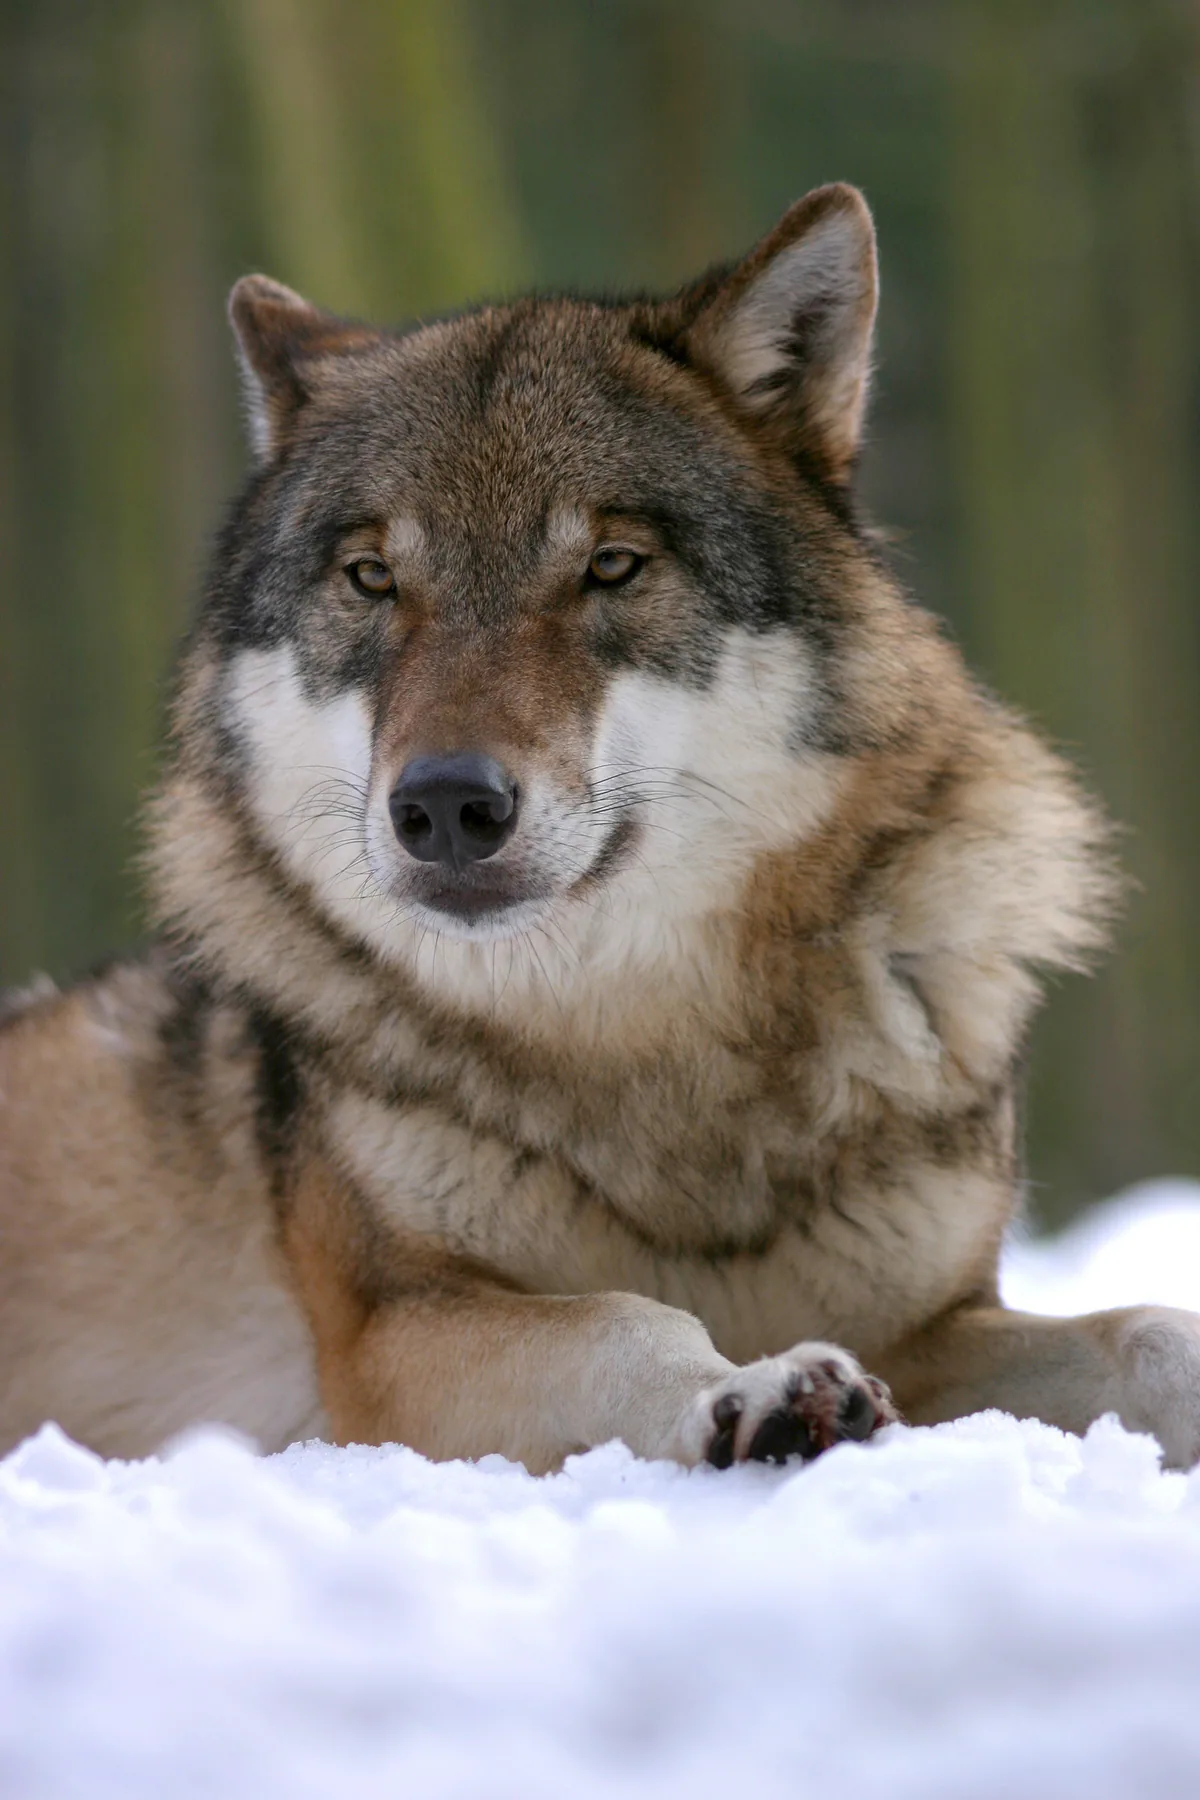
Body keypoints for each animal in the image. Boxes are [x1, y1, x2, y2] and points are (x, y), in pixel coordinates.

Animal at [3, 182, 1199, 1473]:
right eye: (372, 578)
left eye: (612, 566)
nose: (445, 805)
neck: (642, 1037)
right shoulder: (390, 1340)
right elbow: (634, 1318)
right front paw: (760, 1388)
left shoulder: (934, 1326)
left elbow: (1151, 1332)